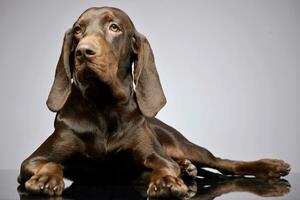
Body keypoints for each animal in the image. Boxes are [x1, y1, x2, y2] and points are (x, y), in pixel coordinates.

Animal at [17, 6, 290, 198]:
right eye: (77, 30)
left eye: (114, 27)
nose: (83, 52)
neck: (104, 105)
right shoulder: (32, 160)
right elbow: (51, 163)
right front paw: (46, 179)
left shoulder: (154, 156)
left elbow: (164, 167)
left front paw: (167, 181)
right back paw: (188, 169)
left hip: (184, 145)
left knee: (223, 163)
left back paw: (271, 166)